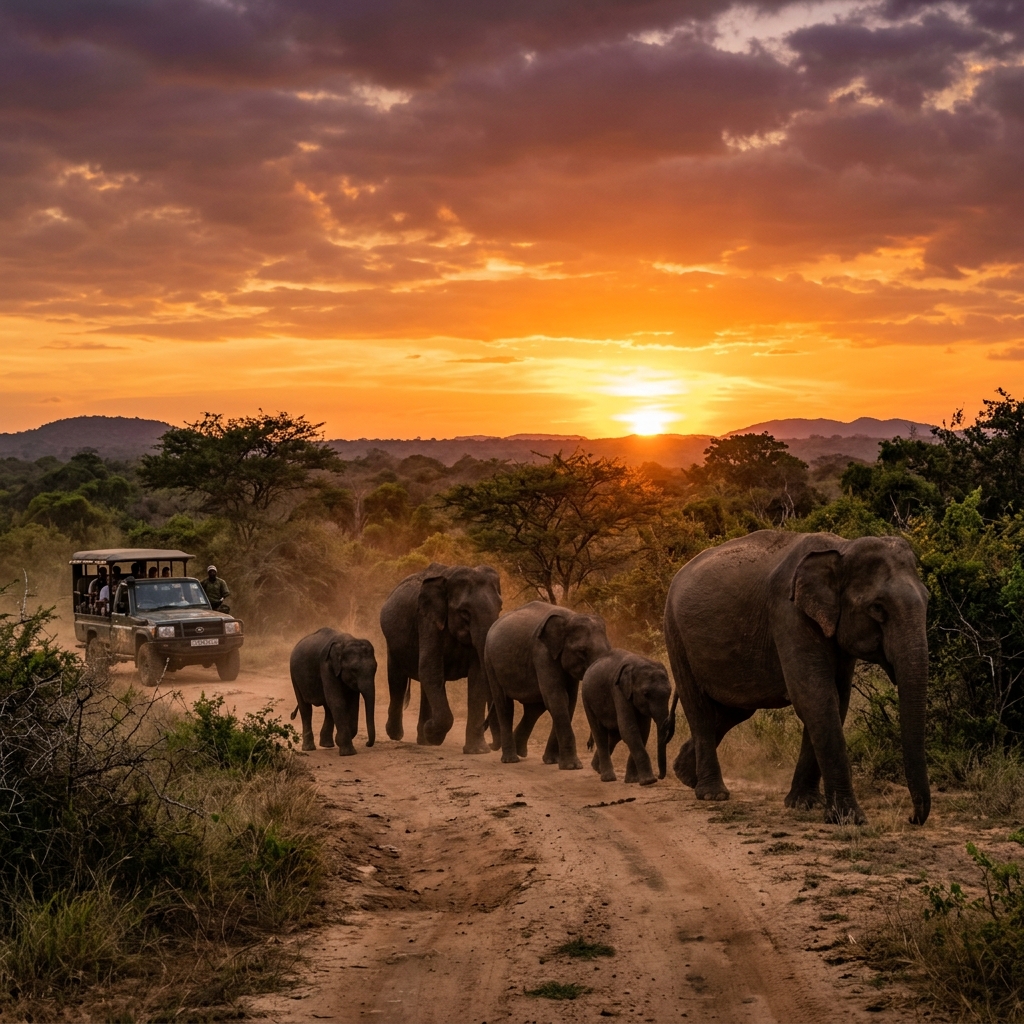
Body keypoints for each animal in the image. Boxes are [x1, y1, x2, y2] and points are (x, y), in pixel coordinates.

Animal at [379, 563, 502, 753]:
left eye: (500, 608)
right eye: (464, 613)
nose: (492, 744)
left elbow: (478, 676)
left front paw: (478, 751)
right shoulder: (427, 621)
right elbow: (429, 668)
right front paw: (433, 734)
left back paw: (424, 740)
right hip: (392, 642)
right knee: (397, 679)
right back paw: (397, 734)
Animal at [484, 601, 611, 770]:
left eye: (609, 649)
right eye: (581, 651)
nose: (589, 745)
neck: (570, 617)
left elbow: (569, 701)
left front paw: (552, 761)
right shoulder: (542, 653)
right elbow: (557, 697)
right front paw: (572, 766)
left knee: (535, 708)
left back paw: (520, 751)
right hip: (490, 662)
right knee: (504, 705)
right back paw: (511, 759)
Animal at [582, 650, 673, 786]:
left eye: (670, 692)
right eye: (646, 694)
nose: (659, 776)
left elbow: (643, 731)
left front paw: (633, 780)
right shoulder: (618, 690)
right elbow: (629, 729)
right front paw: (649, 781)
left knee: (613, 736)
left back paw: (596, 768)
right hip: (587, 699)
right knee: (600, 733)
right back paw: (608, 778)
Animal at [664, 531, 930, 825]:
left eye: (928, 600)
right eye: (877, 608)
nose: (911, 818)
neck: (842, 548)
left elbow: (835, 701)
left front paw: (804, 804)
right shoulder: (788, 613)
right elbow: (816, 698)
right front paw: (849, 818)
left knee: (733, 711)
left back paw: (684, 774)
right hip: (675, 633)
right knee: (699, 710)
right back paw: (712, 794)